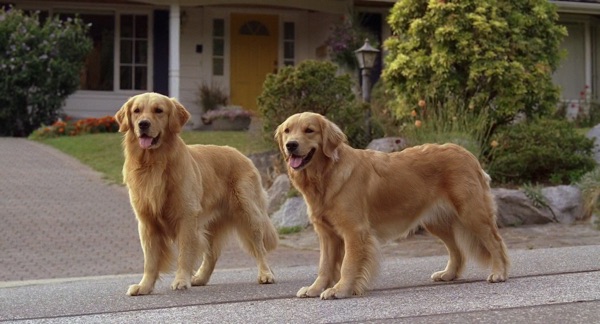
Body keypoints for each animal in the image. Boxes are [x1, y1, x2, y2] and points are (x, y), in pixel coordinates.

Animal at [116, 92, 278, 294]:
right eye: (137, 111)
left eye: (158, 110)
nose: (143, 124)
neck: (153, 164)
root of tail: (243, 156)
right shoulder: (147, 222)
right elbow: (150, 260)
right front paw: (144, 286)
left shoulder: (186, 218)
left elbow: (184, 253)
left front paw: (180, 280)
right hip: (211, 224)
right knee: (212, 255)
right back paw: (200, 278)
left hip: (248, 213)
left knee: (259, 248)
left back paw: (266, 274)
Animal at [274, 112, 508, 300]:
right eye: (287, 131)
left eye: (309, 130)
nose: (291, 145)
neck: (325, 175)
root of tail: (468, 155)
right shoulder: (327, 234)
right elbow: (324, 266)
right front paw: (315, 289)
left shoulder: (354, 231)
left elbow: (348, 264)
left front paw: (340, 290)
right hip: (437, 222)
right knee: (457, 250)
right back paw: (448, 274)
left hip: (472, 212)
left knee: (495, 242)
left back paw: (499, 272)